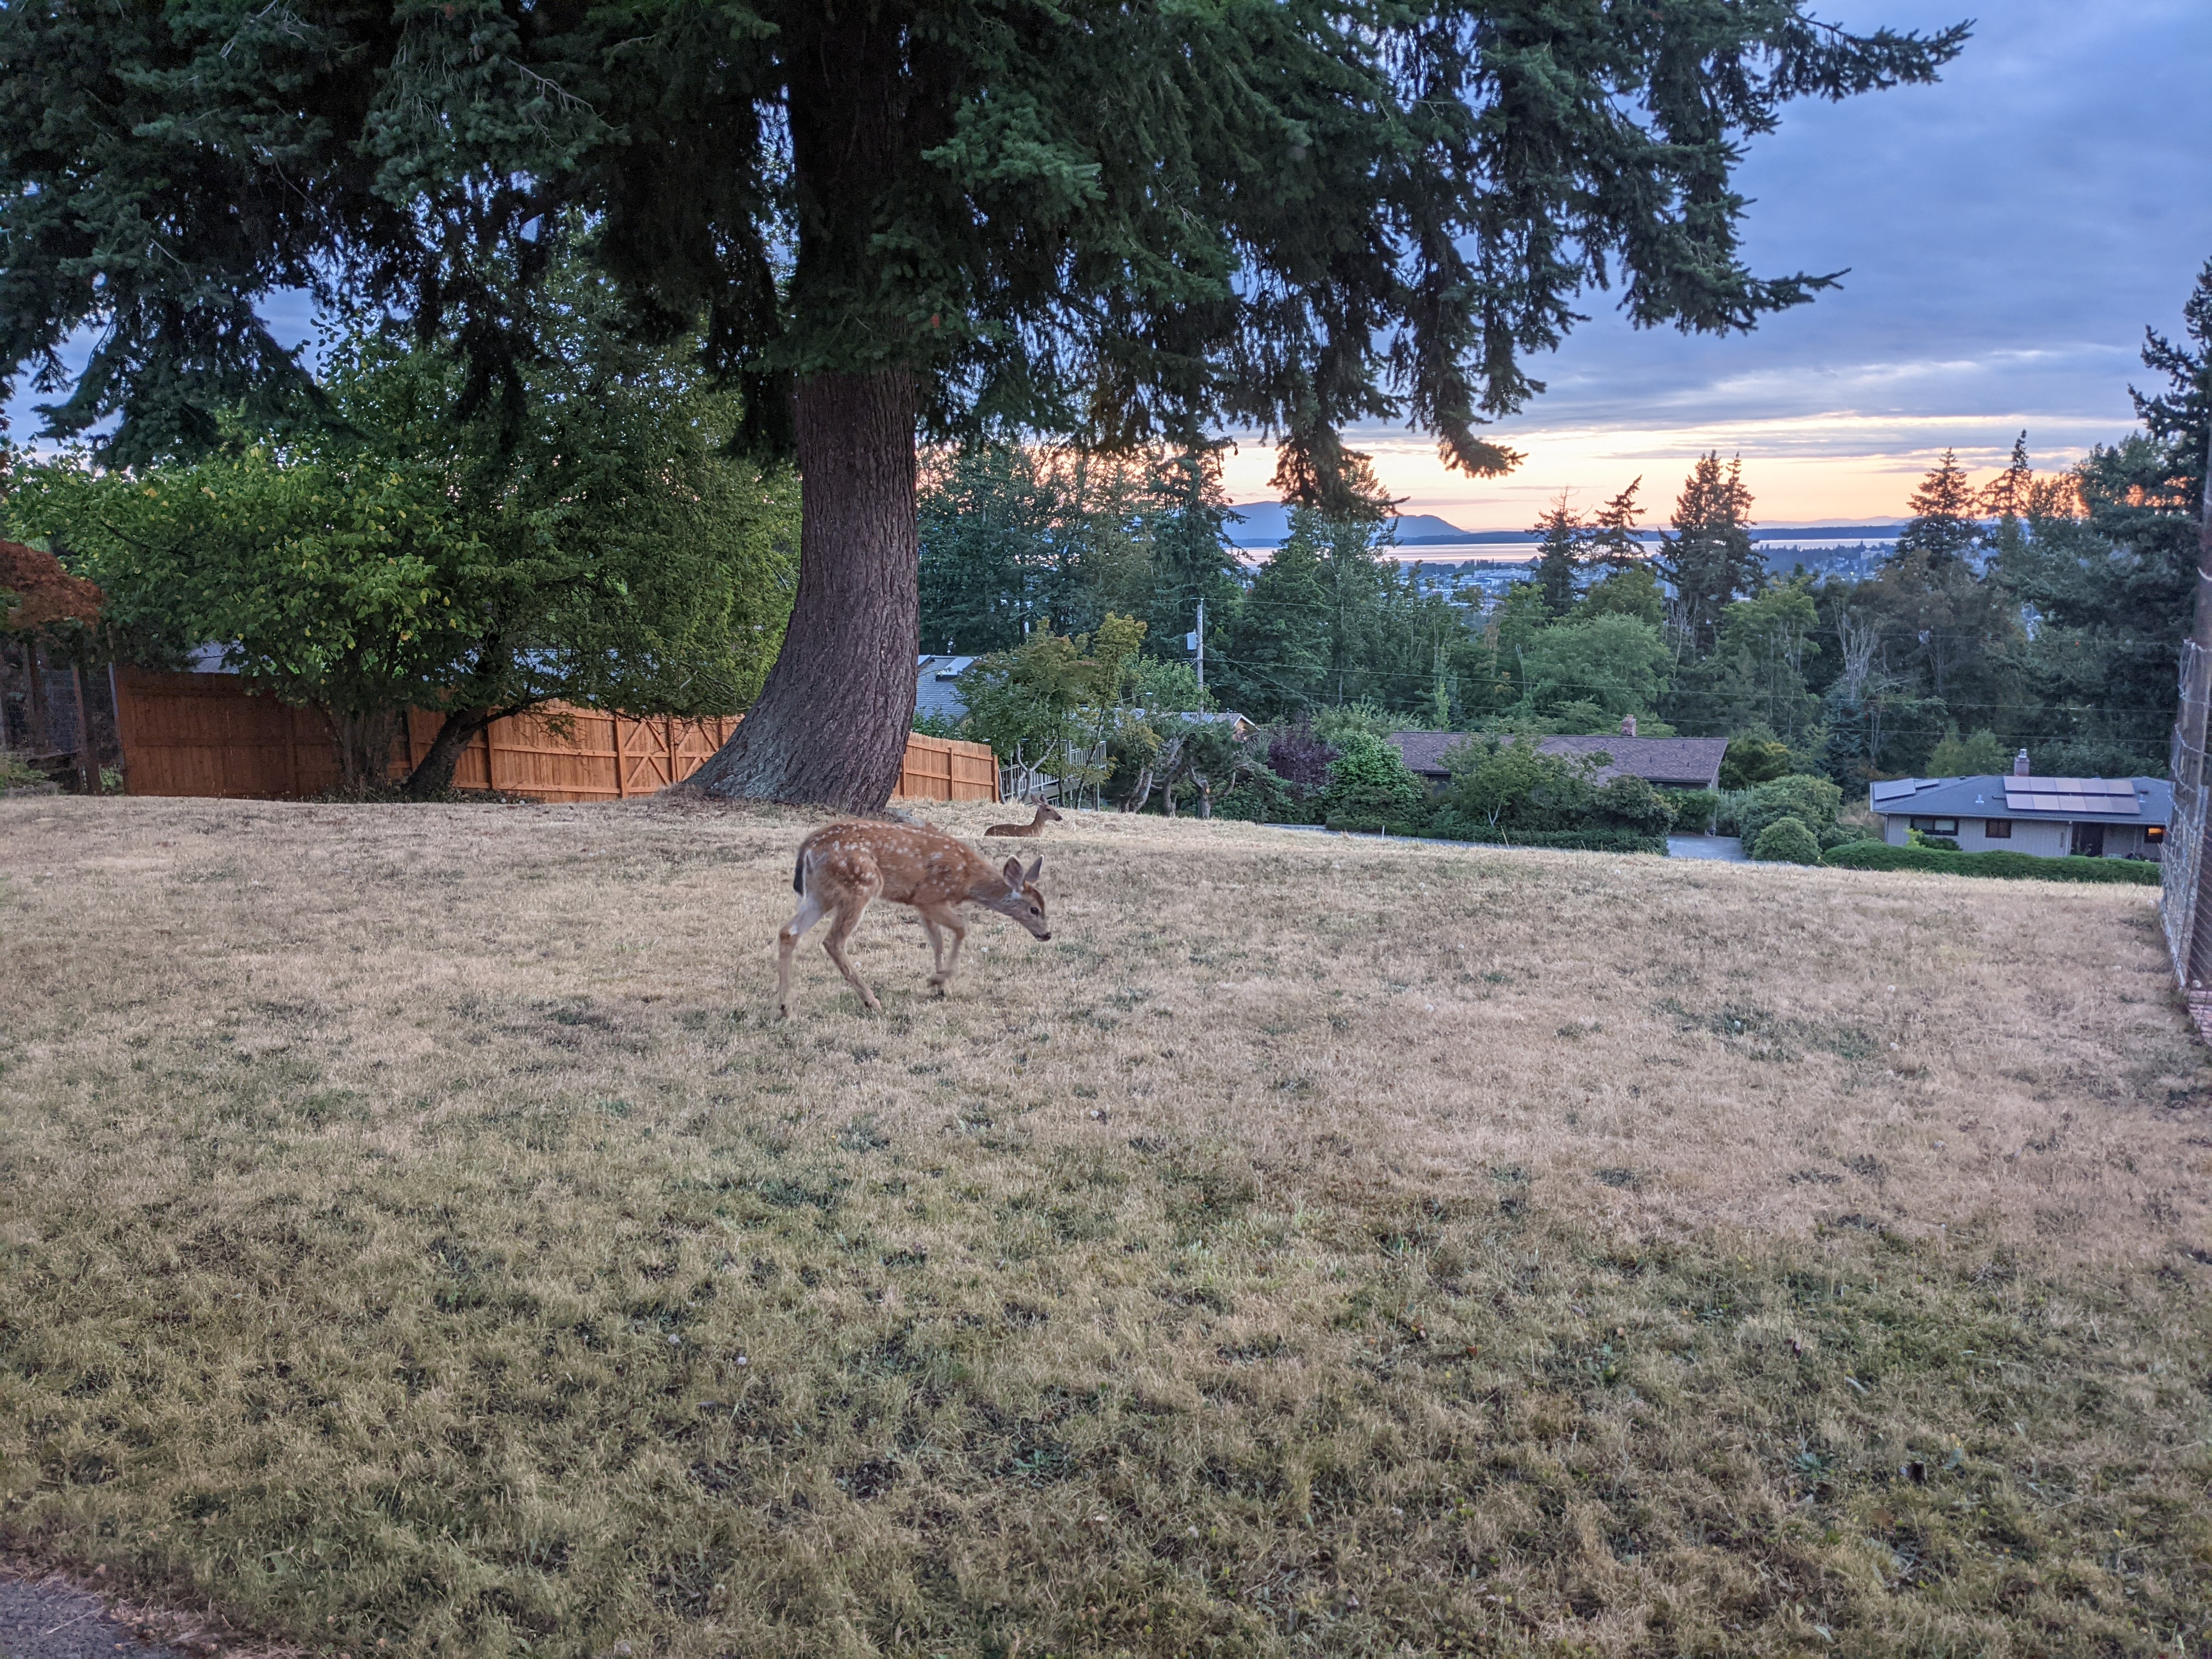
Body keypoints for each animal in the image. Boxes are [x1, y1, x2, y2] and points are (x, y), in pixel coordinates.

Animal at [777, 821, 1049, 1017]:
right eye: (1034, 909)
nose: (1047, 934)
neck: (968, 882)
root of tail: (807, 848)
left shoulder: (923, 904)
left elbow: (938, 941)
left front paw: (942, 988)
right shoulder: (930, 896)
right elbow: (961, 929)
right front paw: (937, 980)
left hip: (819, 894)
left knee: (789, 932)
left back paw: (786, 1008)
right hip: (860, 885)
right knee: (833, 941)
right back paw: (872, 1001)